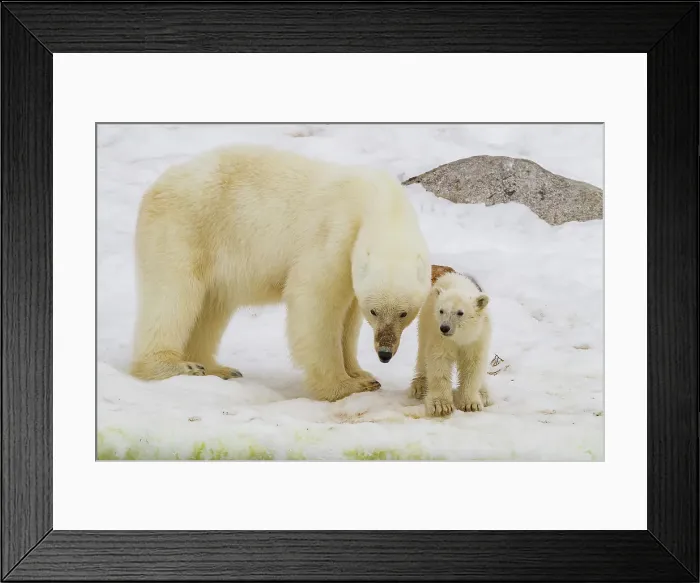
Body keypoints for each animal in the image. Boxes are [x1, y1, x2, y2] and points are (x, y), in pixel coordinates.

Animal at [129, 144, 432, 402]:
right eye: (375, 311)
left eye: (404, 313)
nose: (384, 353)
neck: (379, 202)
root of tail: (157, 185)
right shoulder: (335, 236)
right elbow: (316, 303)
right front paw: (344, 385)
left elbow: (348, 316)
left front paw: (361, 373)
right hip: (183, 230)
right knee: (175, 296)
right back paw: (174, 366)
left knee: (211, 307)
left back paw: (217, 368)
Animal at [409, 267, 492, 417]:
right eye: (441, 310)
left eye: (460, 312)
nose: (445, 327)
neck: (460, 337)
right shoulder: (440, 337)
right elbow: (439, 362)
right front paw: (441, 405)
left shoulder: (477, 338)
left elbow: (473, 366)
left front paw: (471, 403)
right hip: (425, 322)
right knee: (422, 355)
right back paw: (419, 386)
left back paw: (484, 393)